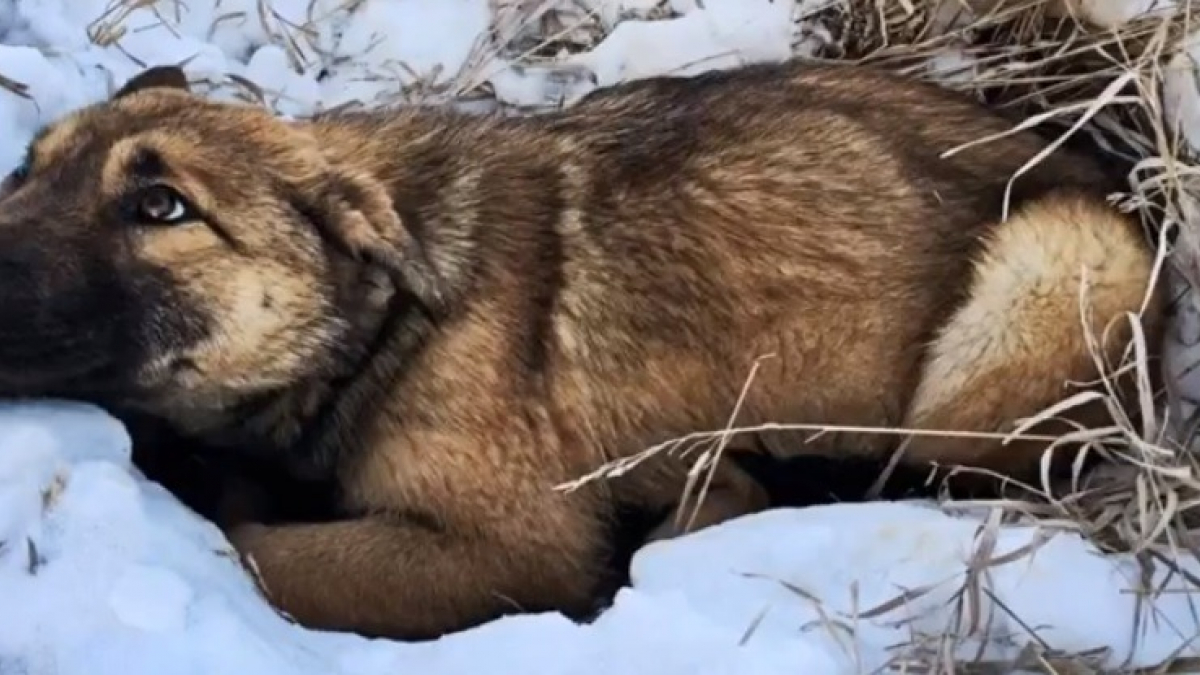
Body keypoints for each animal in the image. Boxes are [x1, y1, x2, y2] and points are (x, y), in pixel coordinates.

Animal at [0, 61, 1166, 634]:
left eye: (162, 206)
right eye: (27, 166)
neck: (385, 325)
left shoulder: (514, 547)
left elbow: (253, 548)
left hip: (1058, 261)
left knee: (925, 473)